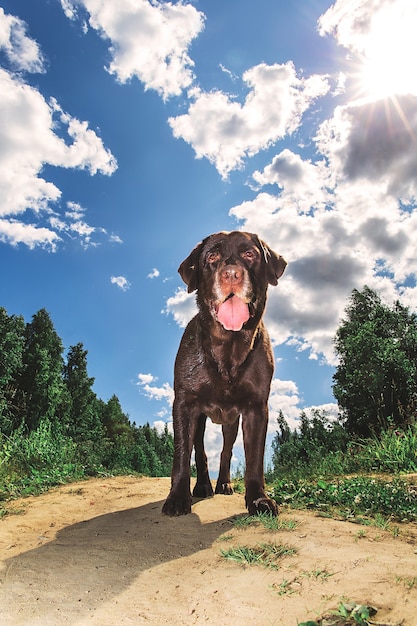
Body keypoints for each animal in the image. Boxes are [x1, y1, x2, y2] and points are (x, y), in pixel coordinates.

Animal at [162, 232, 286, 516]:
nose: (231, 274)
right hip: (199, 420)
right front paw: (177, 498)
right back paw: (203, 486)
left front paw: (258, 499)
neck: (229, 347)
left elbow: (254, 459)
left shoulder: (256, 408)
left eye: (250, 254)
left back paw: (223, 483)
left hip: (231, 422)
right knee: (200, 452)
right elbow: (182, 455)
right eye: (212, 256)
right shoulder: (184, 404)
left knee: (226, 452)